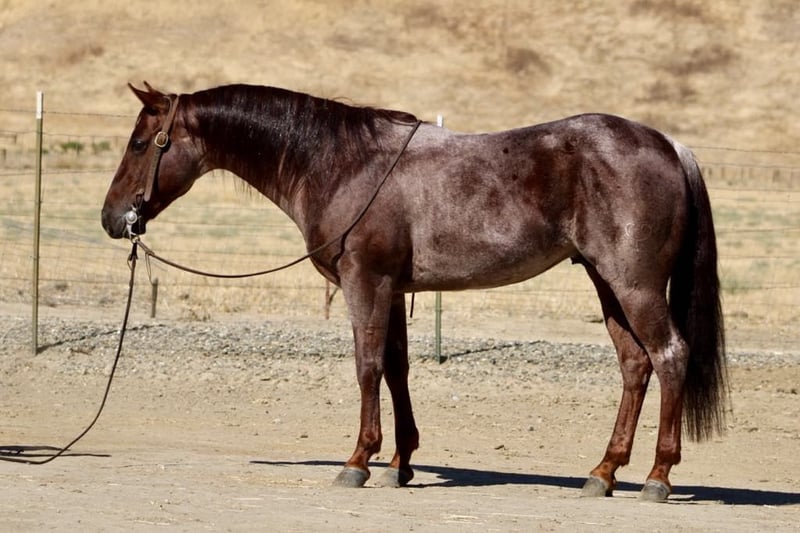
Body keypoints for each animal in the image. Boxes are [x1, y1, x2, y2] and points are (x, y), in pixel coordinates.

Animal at [101, 82, 727, 502]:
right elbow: (397, 368)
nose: (112, 219)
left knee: (669, 355)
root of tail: (670, 145)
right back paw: (603, 473)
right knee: (634, 366)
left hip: (633, 285)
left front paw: (358, 460)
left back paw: (657, 477)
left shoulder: (366, 282)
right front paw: (400, 461)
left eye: (140, 143)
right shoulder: (393, 288)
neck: (342, 163)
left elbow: (367, 366)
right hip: (607, 283)